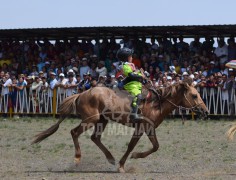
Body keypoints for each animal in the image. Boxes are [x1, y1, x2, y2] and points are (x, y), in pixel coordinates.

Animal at [31, 78, 208, 172]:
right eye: (194, 95)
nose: (205, 111)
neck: (156, 103)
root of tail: (82, 93)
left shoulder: (149, 128)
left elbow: (155, 146)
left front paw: (133, 157)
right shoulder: (141, 128)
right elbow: (131, 146)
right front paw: (124, 164)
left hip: (101, 120)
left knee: (95, 138)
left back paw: (110, 158)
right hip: (91, 119)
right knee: (74, 132)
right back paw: (77, 159)